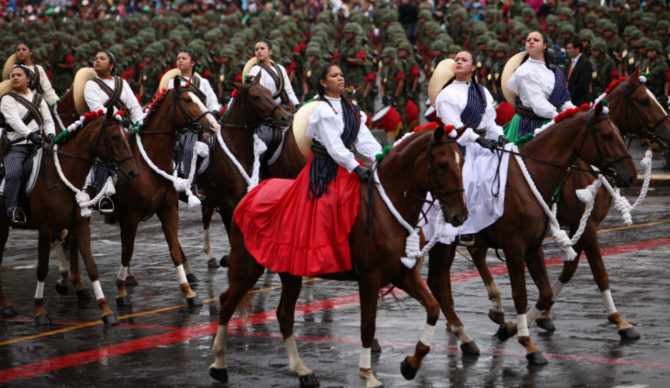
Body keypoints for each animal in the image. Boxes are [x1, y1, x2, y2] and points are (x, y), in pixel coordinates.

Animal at [0, 107, 139, 322]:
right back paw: (7, 305)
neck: (63, 174)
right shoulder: (45, 229)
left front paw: (106, 310)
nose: (132, 173)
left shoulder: (80, 225)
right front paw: (40, 310)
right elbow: (42, 269)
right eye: (116, 137)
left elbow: (91, 266)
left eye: (126, 134)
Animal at [213, 126, 470, 386]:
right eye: (442, 164)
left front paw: (410, 364)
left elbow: (433, 308)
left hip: (289, 273)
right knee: (226, 303)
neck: (388, 209)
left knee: (283, 315)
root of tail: (251, 193)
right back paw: (219, 364)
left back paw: (301, 370)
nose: (460, 216)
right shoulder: (370, 278)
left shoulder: (404, 274)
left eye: (462, 161)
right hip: (248, 267)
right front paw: (368, 374)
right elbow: (367, 326)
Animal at [428, 103, 636, 364]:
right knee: (441, 282)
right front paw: (527, 344)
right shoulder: (516, 247)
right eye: (607, 135)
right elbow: (522, 294)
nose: (631, 175)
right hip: (443, 244)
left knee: (441, 283)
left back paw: (466, 333)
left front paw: (511, 329)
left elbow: (547, 291)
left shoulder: (535, 245)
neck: (528, 179)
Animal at [472, 73, 670, 340]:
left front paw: (538, 317)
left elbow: (569, 269)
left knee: (477, 252)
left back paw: (496, 309)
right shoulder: (587, 226)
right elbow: (599, 272)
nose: (668, 132)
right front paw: (619, 320)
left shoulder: (577, 227)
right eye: (644, 101)